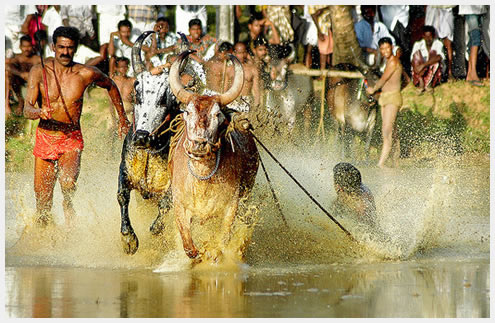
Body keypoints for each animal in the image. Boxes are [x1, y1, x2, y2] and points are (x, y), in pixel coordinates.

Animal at [169, 52, 260, 262]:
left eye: (217, 114)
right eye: (188, 112)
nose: (199, 145)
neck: (202, 180)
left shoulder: (231, 205)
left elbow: (223, 239)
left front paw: (214, 253)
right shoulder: (179, 204)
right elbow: (188, 244)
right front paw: (195, 253)